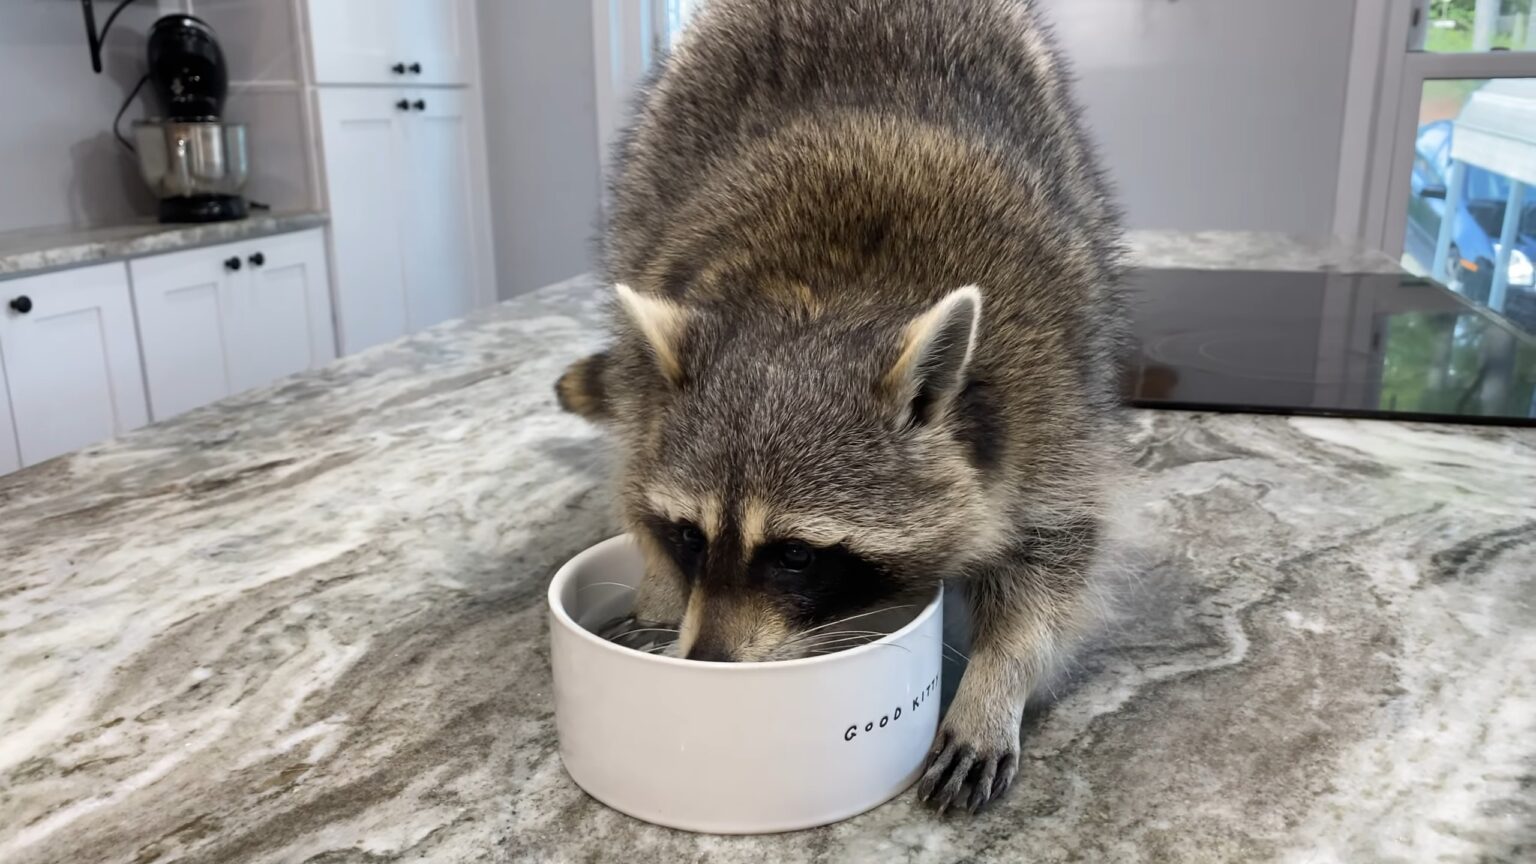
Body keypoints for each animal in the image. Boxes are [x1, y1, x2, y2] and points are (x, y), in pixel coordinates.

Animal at [556, 0, 1125, 814]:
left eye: (795, 553)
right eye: (693, 537)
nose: (709, 666)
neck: (823, 299)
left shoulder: (1048, 401)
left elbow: (1056, 555)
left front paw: (997, 679)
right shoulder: (649, 388)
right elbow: (636, 480)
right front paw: (663, 581)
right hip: (650, 173)